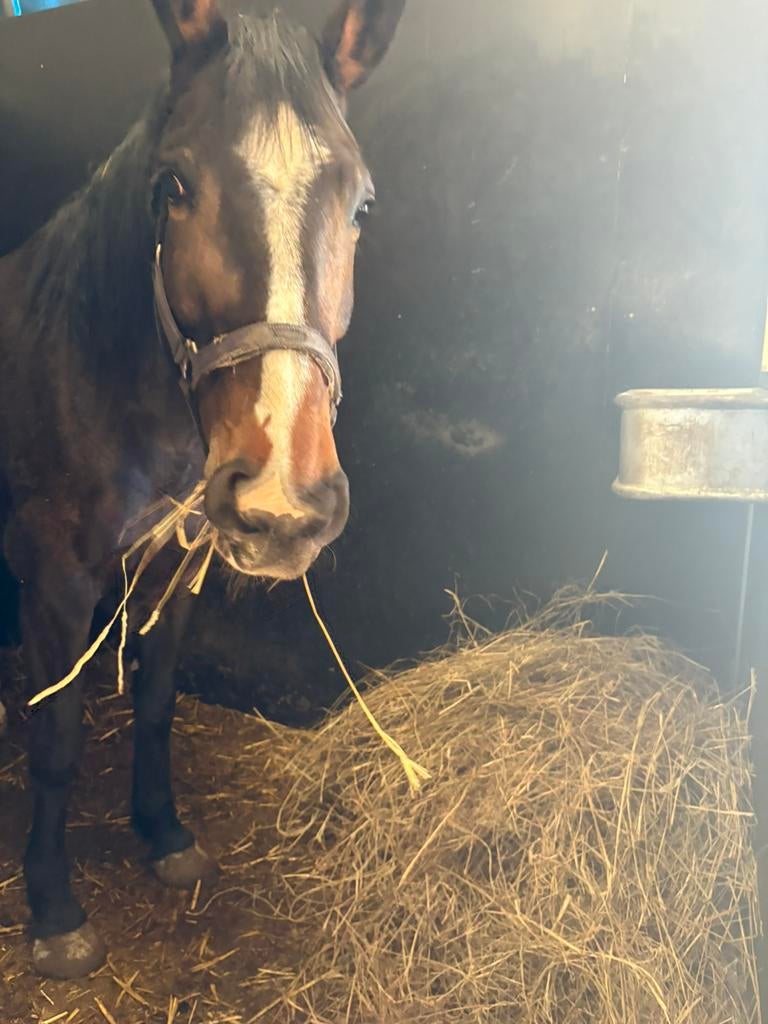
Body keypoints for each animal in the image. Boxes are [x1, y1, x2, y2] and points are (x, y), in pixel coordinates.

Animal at [0, 0, 405, 979]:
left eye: (362, 204)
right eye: (173, 184)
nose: (283, 500)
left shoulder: (176, 565)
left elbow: (156, 704)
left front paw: (164, 835)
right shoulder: (56, 580)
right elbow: (57, 736)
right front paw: (54, 910)